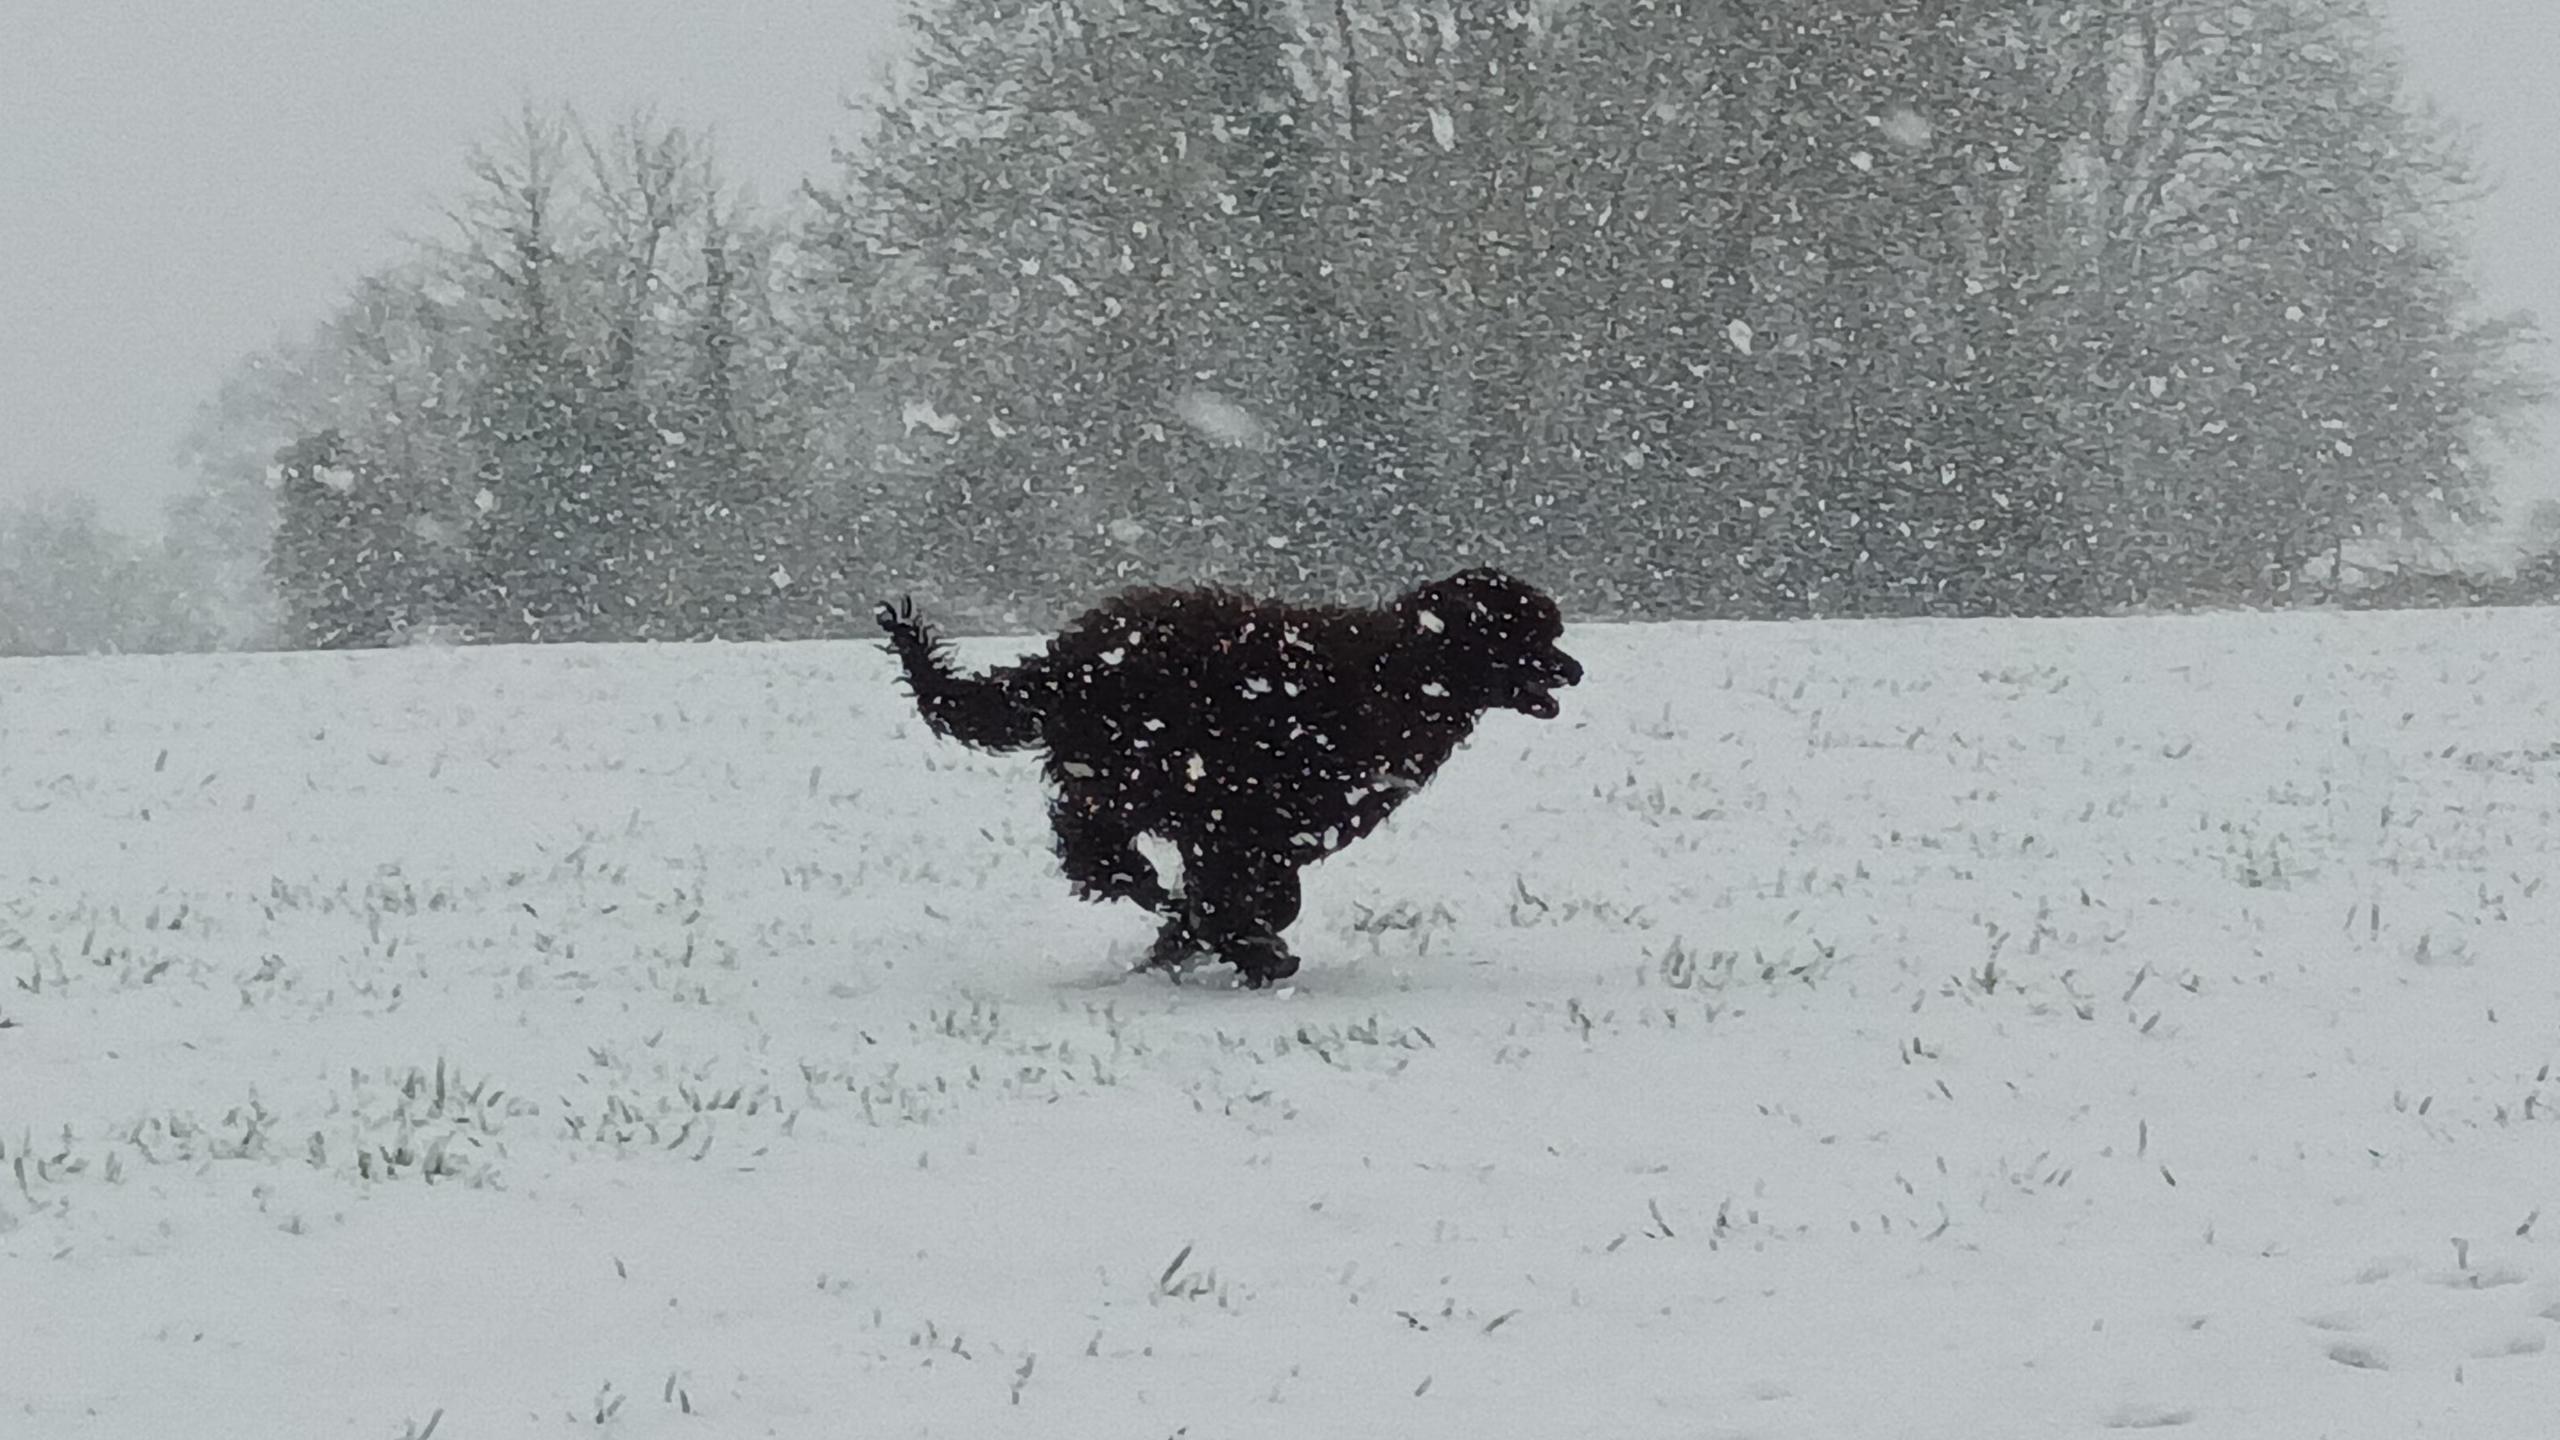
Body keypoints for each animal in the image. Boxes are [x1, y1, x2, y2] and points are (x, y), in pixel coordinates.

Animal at [880, 566, 1576, 978]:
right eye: (1528, 632)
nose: (1575, 670)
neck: (1406, 671)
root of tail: (1064, 662)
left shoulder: (1251, 833)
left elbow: (1262, 897)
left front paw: (1194, 942)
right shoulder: (1237, 815)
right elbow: (1238, 898)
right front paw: (1242, 949)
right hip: (1129, 768)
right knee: (1090, 844)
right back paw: (1150, 890)